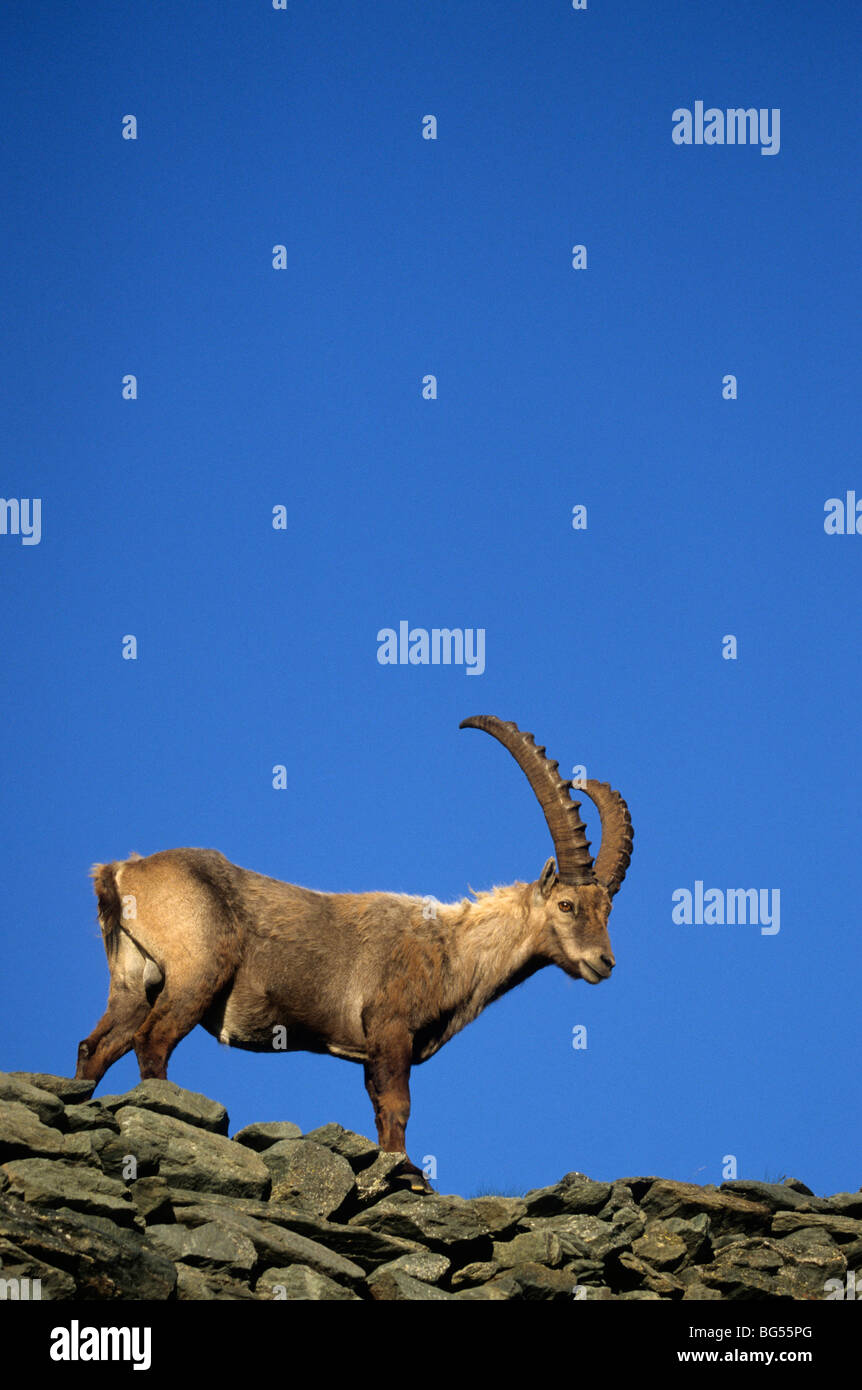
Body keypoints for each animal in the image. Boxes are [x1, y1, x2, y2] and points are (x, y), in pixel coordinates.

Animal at [76, 716, 633, 1190]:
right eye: (566, 904)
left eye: (608, 910)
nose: (604, 963)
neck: (452, 949)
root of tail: (121, 872)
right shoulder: (390, 1029)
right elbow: (398, 1107)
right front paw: (409, 1178)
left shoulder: (370, 1049)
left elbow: (380, 1109)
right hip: (196, 975)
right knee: (153, 1040)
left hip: (133, 982)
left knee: (95, 1046)